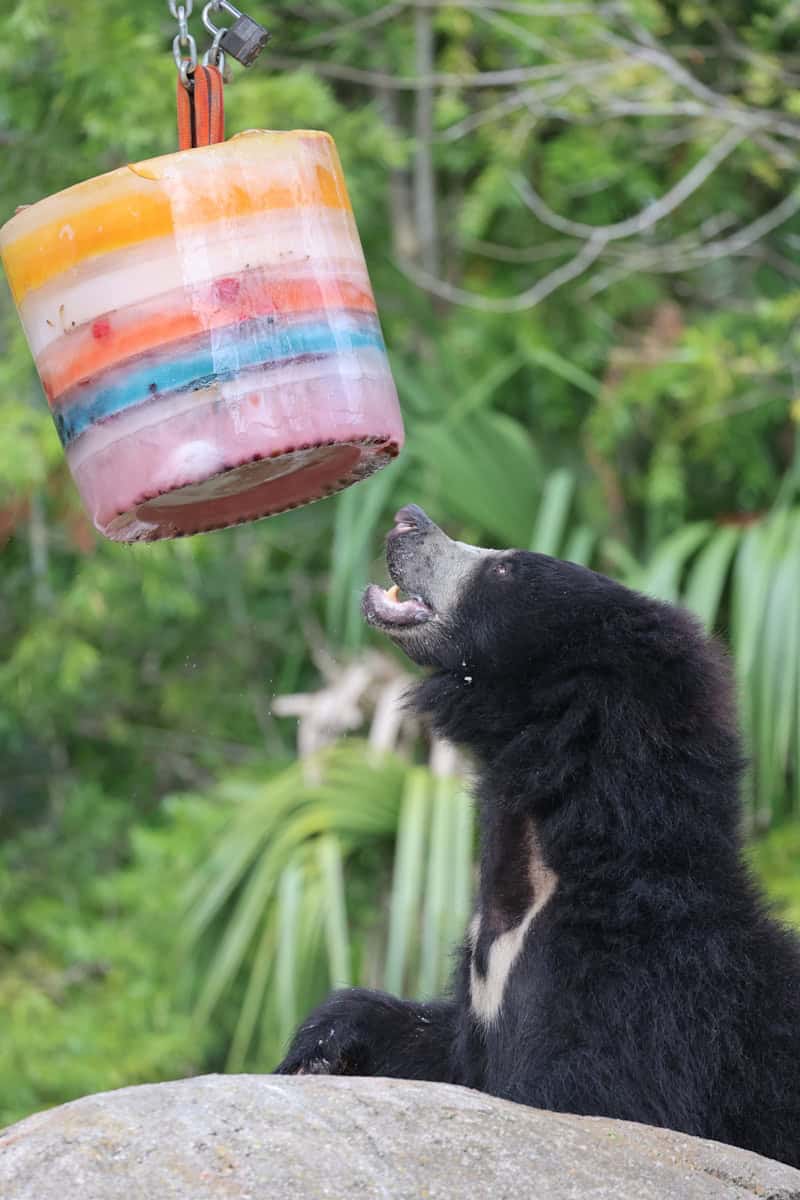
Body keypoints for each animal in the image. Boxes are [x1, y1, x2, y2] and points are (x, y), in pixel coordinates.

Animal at [277, 503, 800, 1170]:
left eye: (505, 569)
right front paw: (319, 1046)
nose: (407, 518)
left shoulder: (634, 992)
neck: (542, 861)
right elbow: (445, 1054)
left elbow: (588, 1095)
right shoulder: (483, 993)